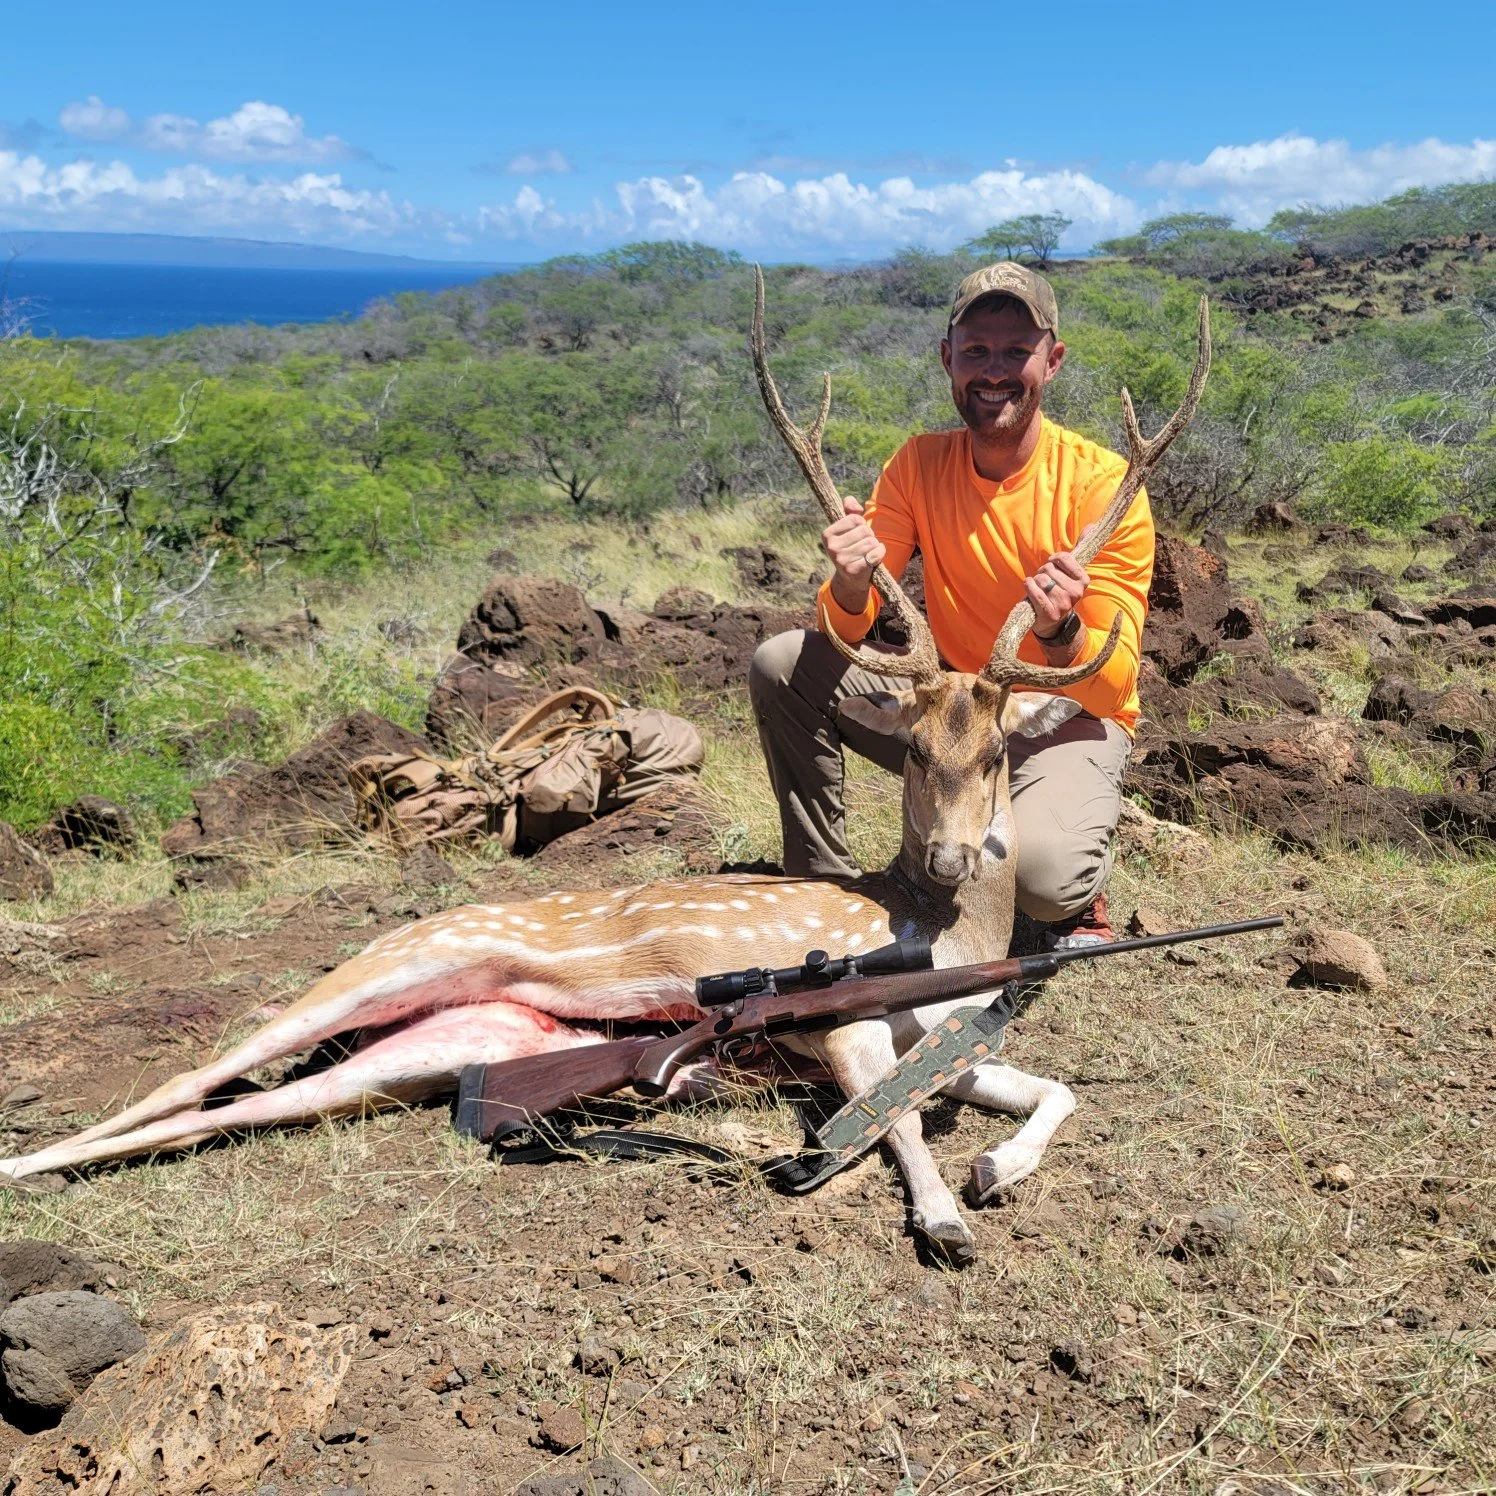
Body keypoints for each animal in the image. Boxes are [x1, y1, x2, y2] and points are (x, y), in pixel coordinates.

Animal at [1, 274, 1210, 1263]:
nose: (958, 855)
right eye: (912, 748)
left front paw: (994, 1168)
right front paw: (944, 1214)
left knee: (234, 1106)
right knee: (192, 1069)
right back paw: (19, 1162)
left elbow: (1053, 1087)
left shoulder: (949, 1036)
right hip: (380, 967)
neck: (942, 934)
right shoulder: (848, 1019)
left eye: (999, 750)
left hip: (429, 1048)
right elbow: (897, 1116)